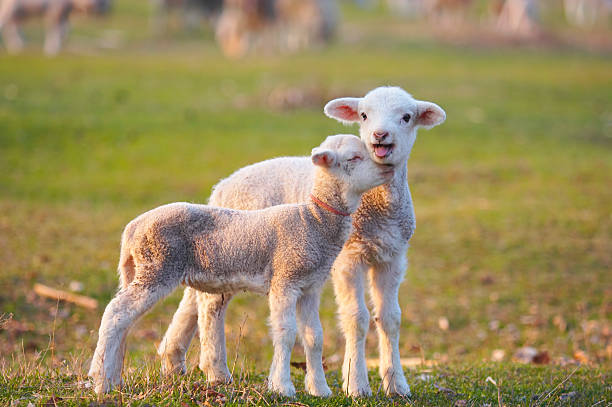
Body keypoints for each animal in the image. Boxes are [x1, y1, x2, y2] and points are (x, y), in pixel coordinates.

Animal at [87, 135, 392, 396]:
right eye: (354, 157)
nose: (388, 168)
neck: (314, 220)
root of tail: (132, 228)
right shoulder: (285, 279)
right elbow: (286, 333)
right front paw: (282, 387)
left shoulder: (310, 287)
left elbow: (313, 336)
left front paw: (320, 390)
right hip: (157, 267)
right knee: (115, 313)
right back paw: (101, 382)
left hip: (141, 270)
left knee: (126, 318)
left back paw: (113, 378)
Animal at [158, 85, 444, 396]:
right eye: (364, 115)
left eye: (406, 117)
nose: (380, 135)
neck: (378, 205)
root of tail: (222, 186)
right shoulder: (348, 258)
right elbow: (356, 318)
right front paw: (356, 384)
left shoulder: (393, 256)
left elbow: (390, 318)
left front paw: (396, 384)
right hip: (232, 251)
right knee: (210, 305)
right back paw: (216, 371)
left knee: (193, 297)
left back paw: (172, 359)